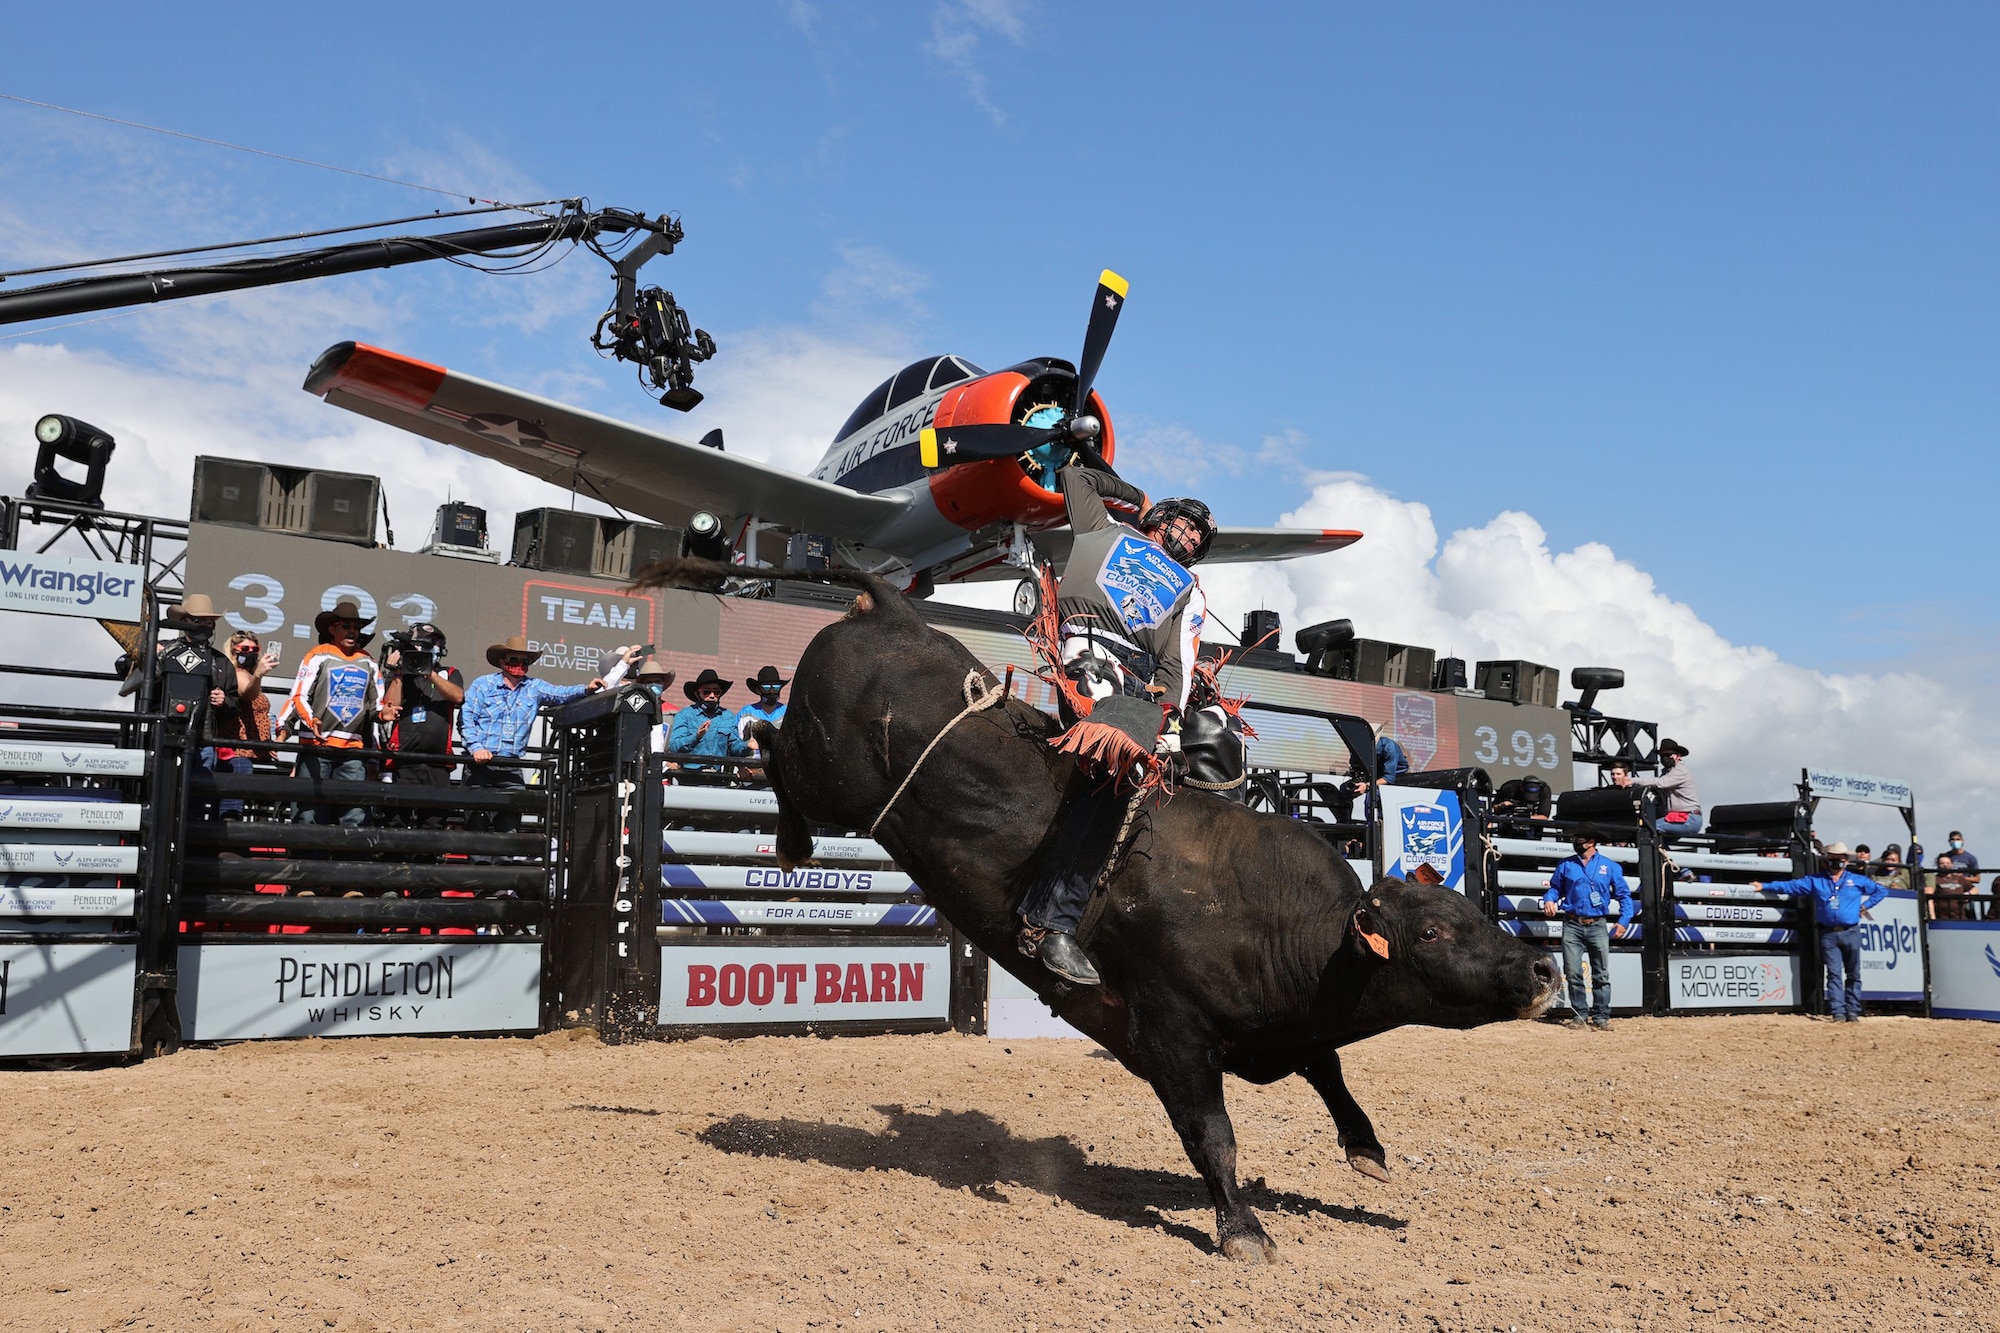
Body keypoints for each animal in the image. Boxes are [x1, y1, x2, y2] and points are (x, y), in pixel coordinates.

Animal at [644, 556, 1560, 1256]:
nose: (1544, 967)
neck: (1291, 929)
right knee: (774, 749)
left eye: (1477, 915)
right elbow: (1213, 1133)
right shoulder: (1172, 1032)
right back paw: (790, 835)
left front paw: (1365, 1149)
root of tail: (892, 607)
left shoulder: (1287, 1029)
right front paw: (1244, 1229)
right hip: (828, 767)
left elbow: (1329, 1068)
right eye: (1434, 930)